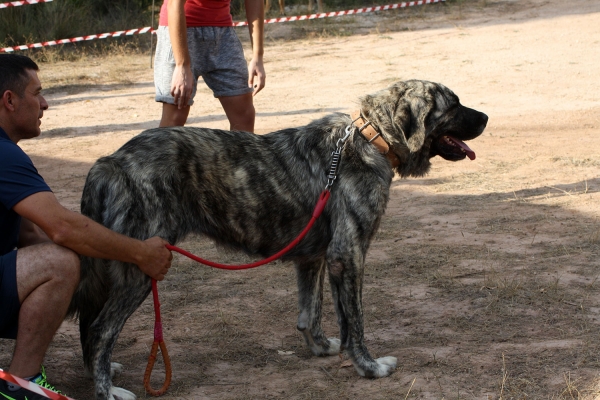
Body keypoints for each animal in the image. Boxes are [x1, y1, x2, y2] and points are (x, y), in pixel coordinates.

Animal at [69, 79, 488, 398]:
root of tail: (110, 161)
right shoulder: (348, 256)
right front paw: (367, 367)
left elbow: (310, 312)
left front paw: (320, 348)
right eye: (454, 105)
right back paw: (106, 391)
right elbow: (354, 322)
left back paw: (99, 374)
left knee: (91, 326)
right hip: (142, 267)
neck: (371, 139)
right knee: (100, 329)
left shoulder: (314, 259)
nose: (486, 117)